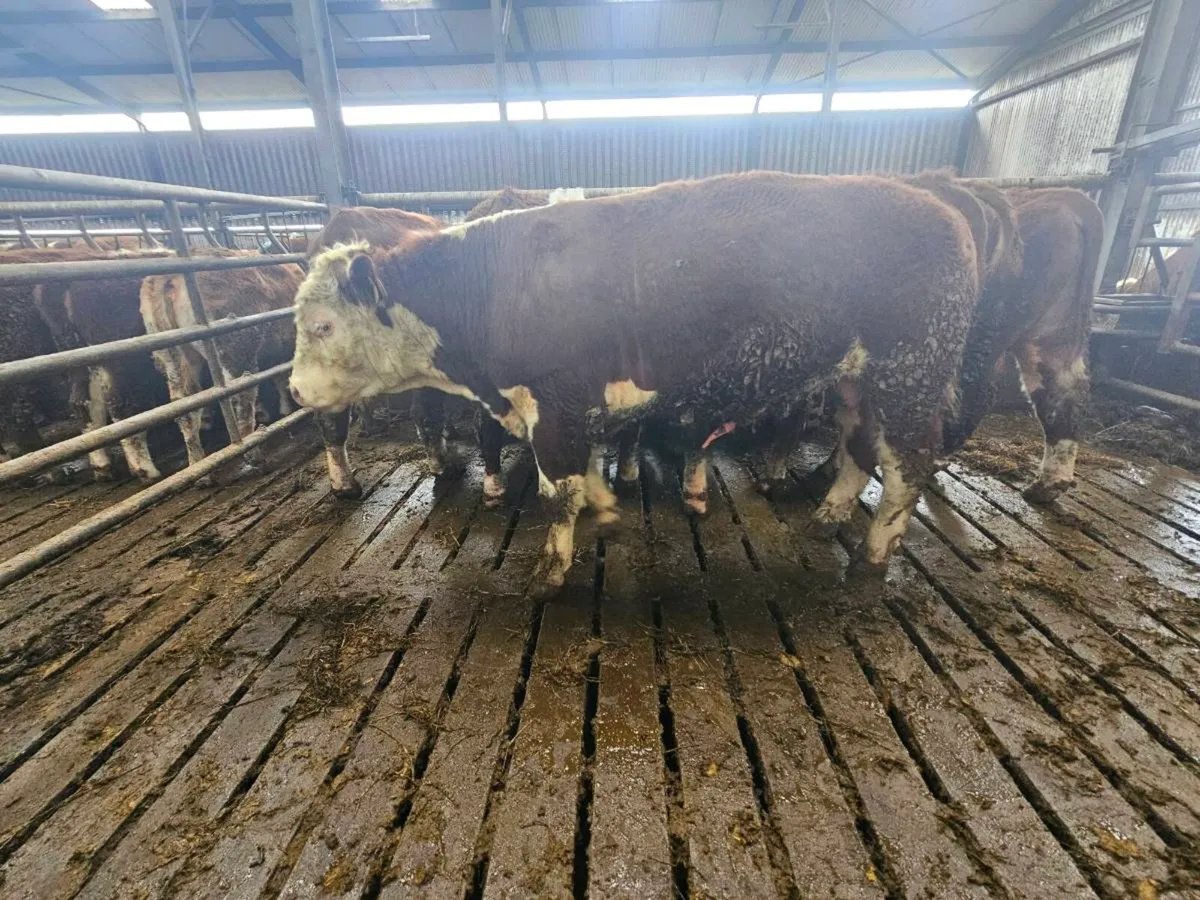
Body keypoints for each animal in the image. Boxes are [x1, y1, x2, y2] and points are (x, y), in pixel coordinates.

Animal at [139, 256, 305, 477]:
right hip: (237, 349)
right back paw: (252, 453)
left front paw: (285, 408)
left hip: (173, 355)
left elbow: (279, 377)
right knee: (242, 400)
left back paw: (198, 467)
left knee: (185, 404)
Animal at [287, 172, 980, 593]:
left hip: (910, 376)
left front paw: (551, 571)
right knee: (861, 448)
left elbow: (557, 495)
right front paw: (606, 506)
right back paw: (827, 516)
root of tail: (941, 207)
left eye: (322, 325)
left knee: (907, 470)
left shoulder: (555, 408)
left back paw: (872, 557)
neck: (492, 289)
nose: (292, 390)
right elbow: (583, 482)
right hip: (858, 383)